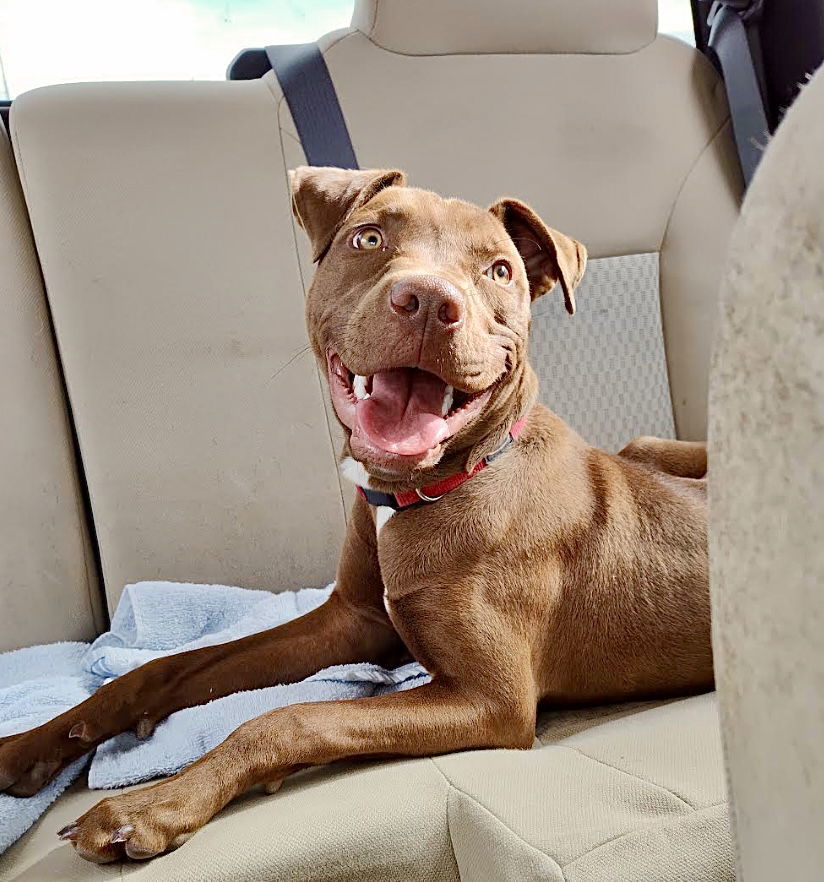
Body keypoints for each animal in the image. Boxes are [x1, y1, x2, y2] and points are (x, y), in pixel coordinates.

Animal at [0, 167, 708, 860]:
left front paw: (151, 808)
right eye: (368, 238)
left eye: (500, 270)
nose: (429, 302)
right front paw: (32, 744)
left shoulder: (492, 702)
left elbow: (290, 718)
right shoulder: (354, 621)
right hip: (644, 444)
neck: (431, 487)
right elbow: (164, 668)